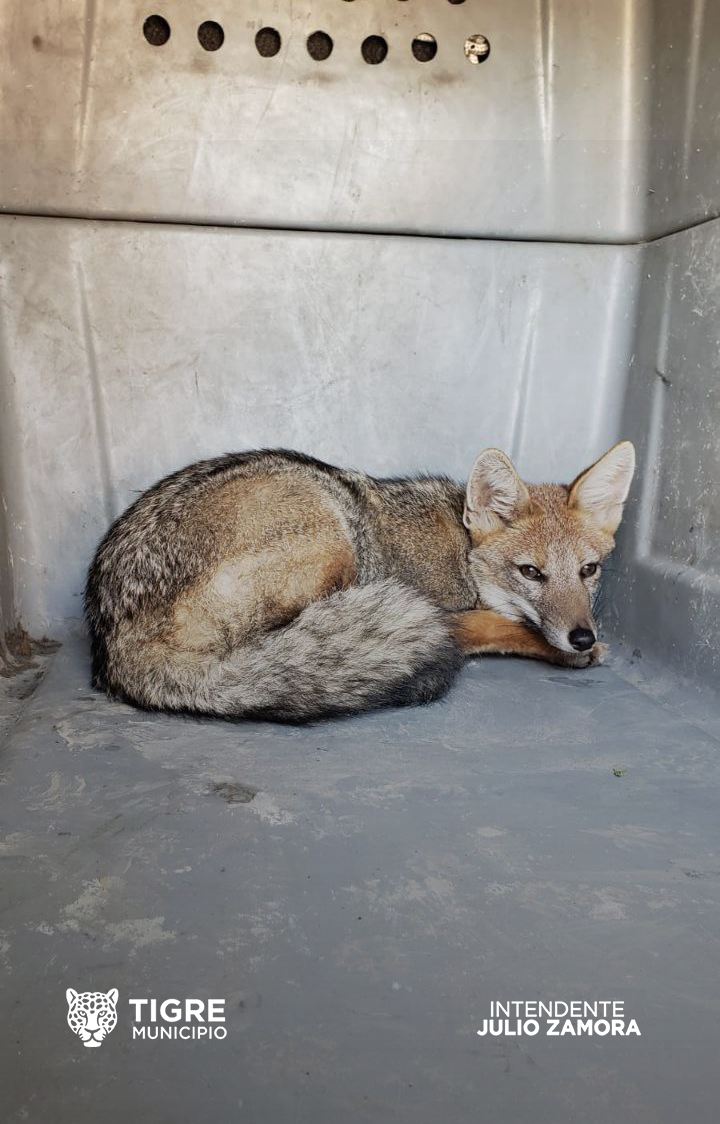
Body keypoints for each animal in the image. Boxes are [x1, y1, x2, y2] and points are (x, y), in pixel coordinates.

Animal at [85, 441, 635, 723]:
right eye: (531, 572)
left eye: (589, 570)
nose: (581, 635)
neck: (460, 549)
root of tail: (114, 643)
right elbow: (498, 625)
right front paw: (568, 650)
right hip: (332, 533)